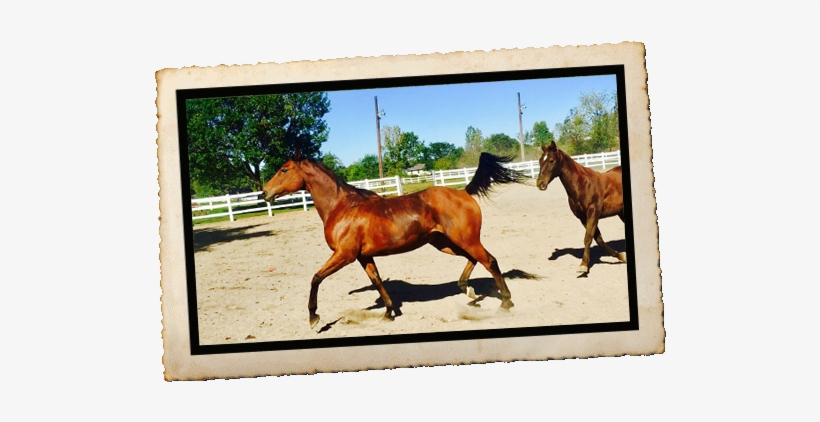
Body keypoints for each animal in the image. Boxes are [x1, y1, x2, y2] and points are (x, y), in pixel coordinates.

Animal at [262, 151, 525, 328]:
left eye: (284, 169)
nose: (265, 192)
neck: (342, 207)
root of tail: (463, 192)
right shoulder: (363, 256)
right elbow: (378, 280)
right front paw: (388, 312)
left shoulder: (344, 255)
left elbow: (316, 278)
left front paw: (313, 317)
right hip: (446, 243)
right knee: (476, 259)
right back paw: (468, 292)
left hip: (465, 240)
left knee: (490, 261)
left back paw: (505, 303)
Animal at [536, 141, 626, 274]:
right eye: (540, 161)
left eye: (551, 160)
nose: (540, 184)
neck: (583, 184)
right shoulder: (583, 217)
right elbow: (598, 239)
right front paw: (621, 256)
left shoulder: (593, 213)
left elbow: (588, 238)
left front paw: (583, 265)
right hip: (621, 213)